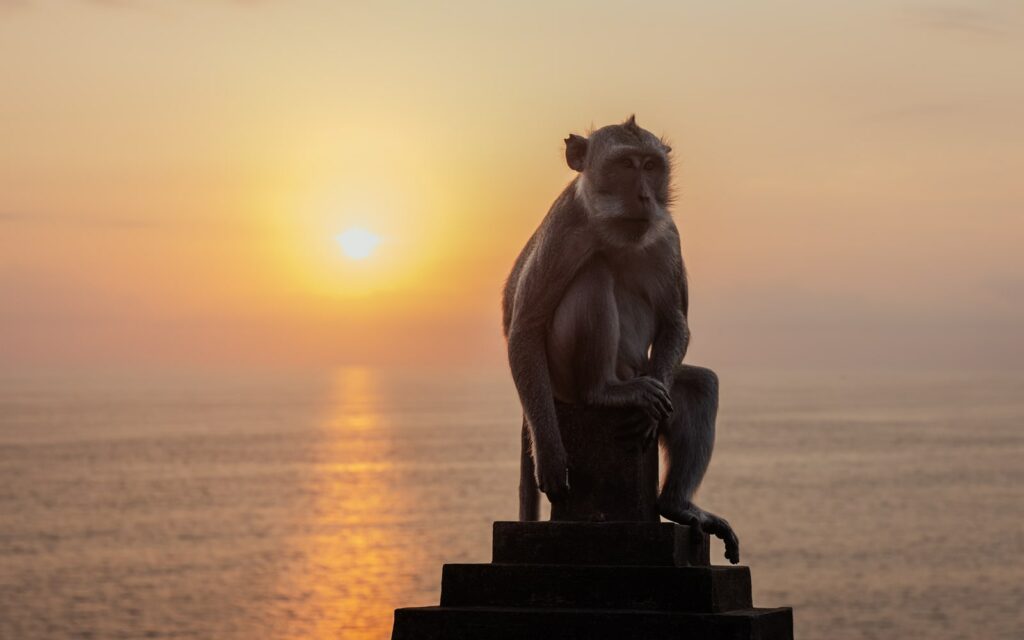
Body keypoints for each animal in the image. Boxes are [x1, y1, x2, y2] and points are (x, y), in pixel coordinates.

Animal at [501, 116, 737, 565]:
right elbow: (524, 325)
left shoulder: (669, 236)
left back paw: (675, 505)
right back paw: (603, 392)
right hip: (560, 379)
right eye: (625, 165)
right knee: (594, 273)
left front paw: (652, 420)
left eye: (650, 166)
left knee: (698, 386)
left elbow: (675, 321)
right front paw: (551, 456)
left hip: (640, 368)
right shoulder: (566, 228)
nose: (644, 196)